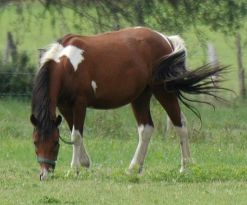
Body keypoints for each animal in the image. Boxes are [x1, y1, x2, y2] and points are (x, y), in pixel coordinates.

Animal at [29, 26, 225, 179]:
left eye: (55, 143)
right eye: (35, 142)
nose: (45, 174)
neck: (67, 65)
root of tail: (166, 40)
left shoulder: (79, 105)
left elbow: (75, 136)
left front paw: (74, 169)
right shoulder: (64, 106)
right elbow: (74, 133)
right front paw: (85, 164)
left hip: (163, 92)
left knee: (180, 126)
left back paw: (185, 168)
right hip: (140, 97)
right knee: (147, 129)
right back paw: (134, 169)